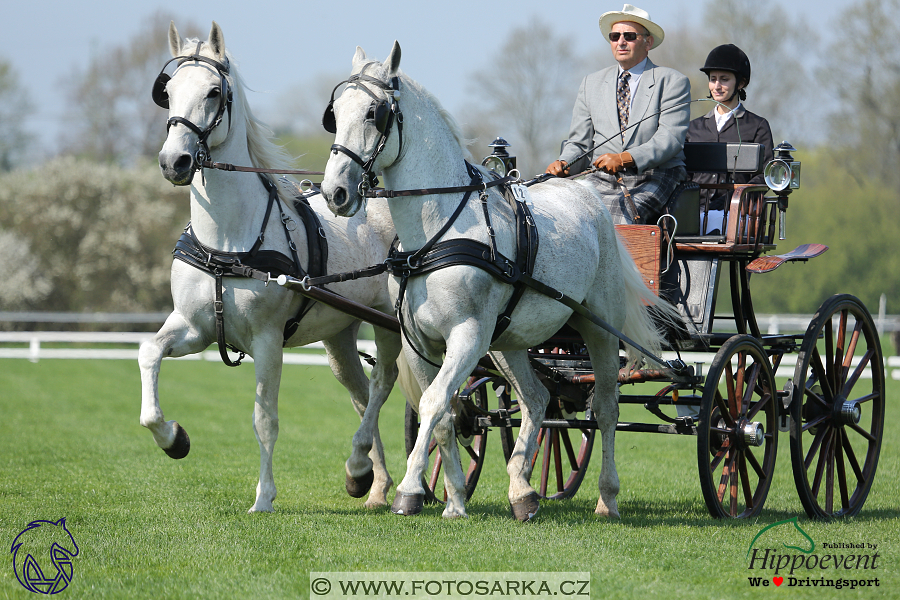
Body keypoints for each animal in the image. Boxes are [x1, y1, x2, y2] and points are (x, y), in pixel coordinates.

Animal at [140, 21, 400, 512]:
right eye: (168, 90)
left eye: (214, 92)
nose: (173, 161)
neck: (227, 242)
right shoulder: (194, 327)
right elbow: (148, 354)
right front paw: (173, 438)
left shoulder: (266, 342)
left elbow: (265, 419)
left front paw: (263, 497)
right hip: (340, 336)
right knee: (361, 395)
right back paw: (370, 482)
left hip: (391, 324)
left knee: (386, 383)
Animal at [322, 43, 676, 520]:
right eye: (335, 113)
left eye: (373, 113)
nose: (334, 193)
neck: (435, 234)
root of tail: (589, 196)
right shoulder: (420, 341)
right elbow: (445, 413)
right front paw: (454, 498)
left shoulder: (468, 336)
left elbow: (434, 402)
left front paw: (409, 488)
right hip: (509, 341)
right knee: (538, 399)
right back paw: (522, 491)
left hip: (598, 328)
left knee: (604, 408)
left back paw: (607, 498)